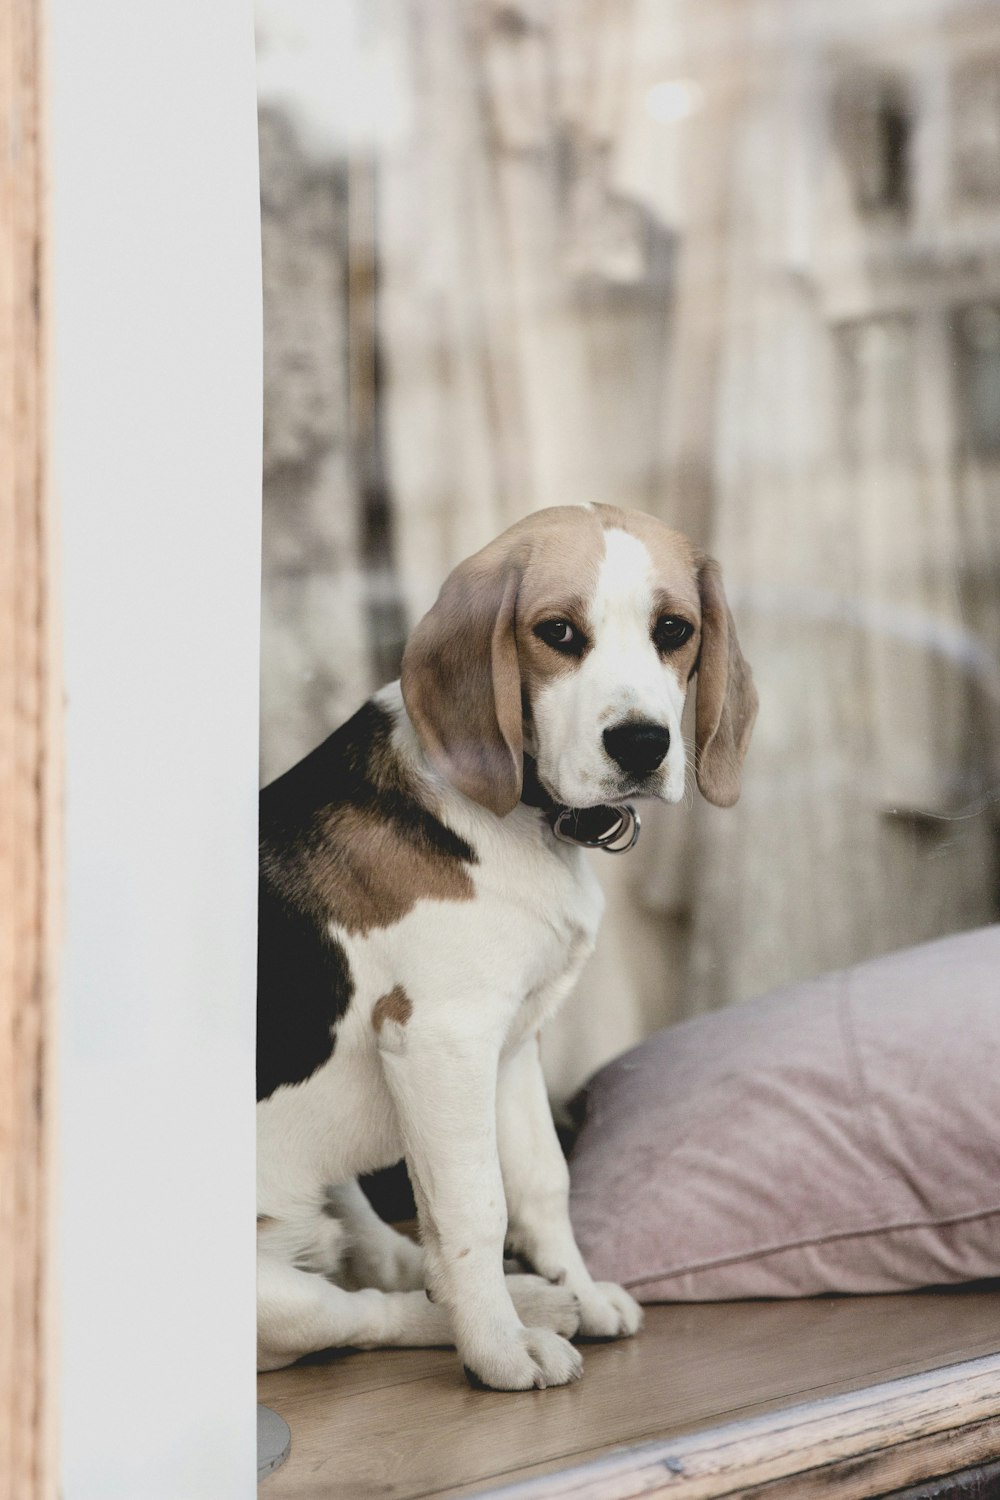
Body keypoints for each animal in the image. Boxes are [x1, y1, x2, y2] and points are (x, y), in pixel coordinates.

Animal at [254, 501, 755, 1380]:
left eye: (673, 629)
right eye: (556, 632)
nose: (642, 744)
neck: (525, 813)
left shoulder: (514, 1044)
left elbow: (541, 1186)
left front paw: (576, 1291)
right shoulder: (442, 1042)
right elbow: (475, 1207)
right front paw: (498, 1351)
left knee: (390, 1263)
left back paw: (543, 1301)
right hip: (268, 1298)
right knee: (363, 1313)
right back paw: (503, 1323)